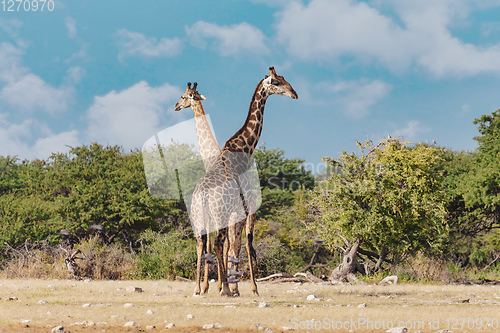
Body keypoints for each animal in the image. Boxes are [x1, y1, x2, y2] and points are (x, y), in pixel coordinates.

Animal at [223, 66, 296, 294]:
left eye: (284, 78)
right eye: (276, 82)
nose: (294, 94)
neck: (245, 146)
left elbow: (238, 244)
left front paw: (236, 287)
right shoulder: (249, 206)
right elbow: (244, 243)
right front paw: (251, 287)